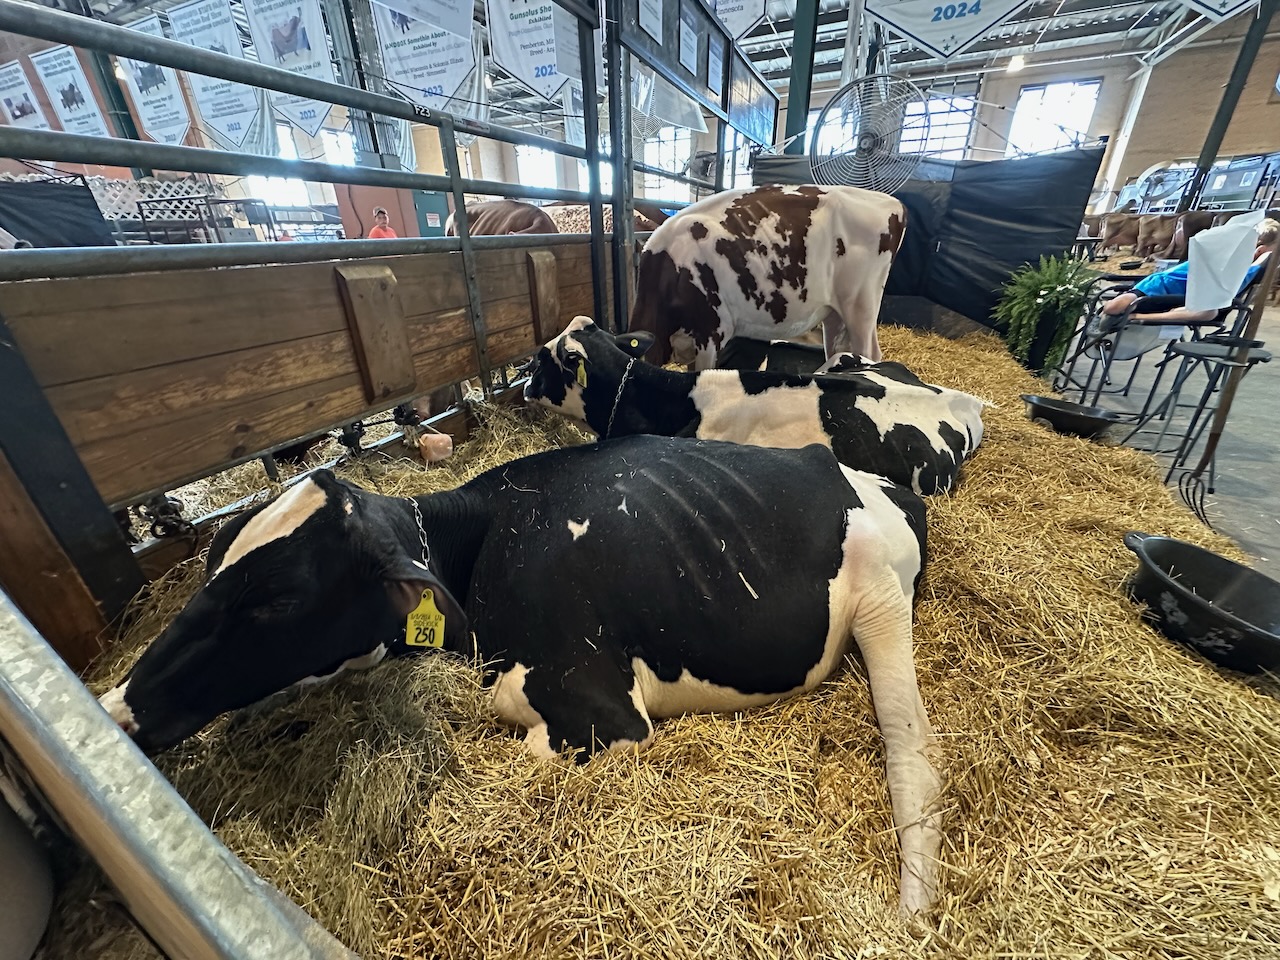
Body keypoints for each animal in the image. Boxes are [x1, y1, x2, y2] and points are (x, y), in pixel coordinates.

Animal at [98, 437, 944, 914]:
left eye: (279, 599)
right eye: (214, 560)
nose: (117, 705)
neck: (480, 545)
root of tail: (861, 475)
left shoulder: (602, 714)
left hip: (879, 594)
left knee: (915, 755)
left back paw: (915, 901)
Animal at [628, 184, 906, 369]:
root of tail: (892, 202)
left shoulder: (712, 333)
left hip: (861, 306)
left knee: (869, 353)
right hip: (835, 311)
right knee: (837, 350)